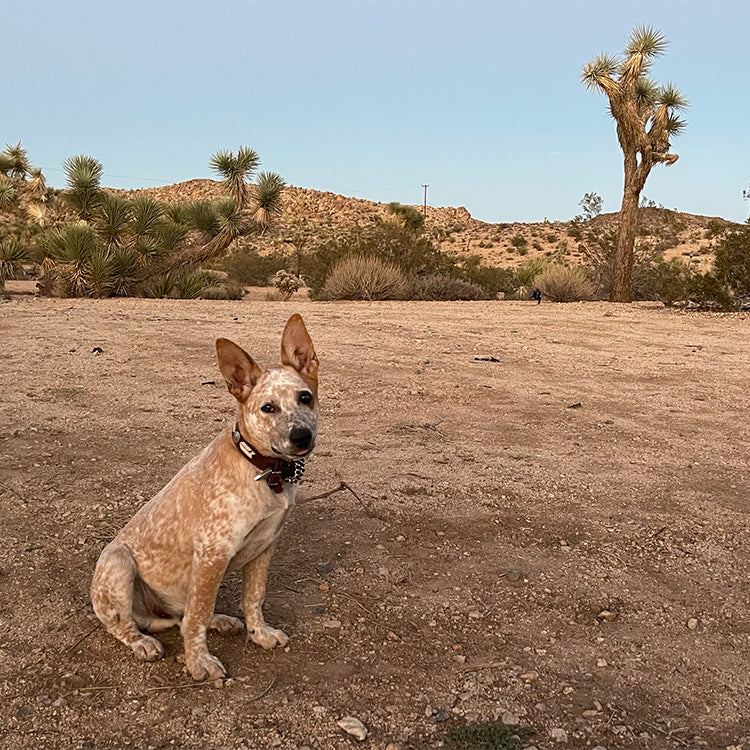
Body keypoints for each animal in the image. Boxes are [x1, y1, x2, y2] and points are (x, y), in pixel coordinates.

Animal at [91, 314, 320, 684]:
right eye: (267, 408)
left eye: (305, 397)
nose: (302, 436)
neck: (261, 468)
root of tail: (152, 615)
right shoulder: (213, 554)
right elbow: (196, 618)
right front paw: (199, 662)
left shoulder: (265, 546)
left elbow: (253, 598)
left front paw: (260, 634)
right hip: (118, 563)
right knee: (127, 624)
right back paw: (142, 641)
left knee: (185, 614)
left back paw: (219, 621)